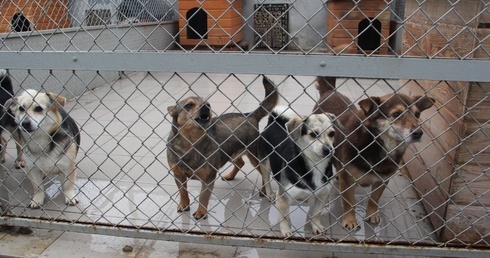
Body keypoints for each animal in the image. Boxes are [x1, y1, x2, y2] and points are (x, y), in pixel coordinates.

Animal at [167, 75, 278, 219]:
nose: (206, 106)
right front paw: (184, 204)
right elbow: (183, 192)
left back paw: (264, 190)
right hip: (230, 153)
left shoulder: (208, 178)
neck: (191, 143)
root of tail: (250, 115)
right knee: (240, 163)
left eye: (208, 103)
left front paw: (201, 212)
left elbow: (203, 196)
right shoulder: (178, 175)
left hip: (254, 157)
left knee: (264, 174)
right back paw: (230, 176)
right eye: (189, 105)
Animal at [260, 106, 336, 238]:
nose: (328, 149)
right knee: (266, 179)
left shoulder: (323, 196)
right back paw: (269, 194)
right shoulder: (283, 198)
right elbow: (284, 217)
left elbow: (316, 213)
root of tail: (274, 121)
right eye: (313, 134)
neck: (315, 165)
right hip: (266, 163)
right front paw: (285, 231)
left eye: (332, 133)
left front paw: (316, 226)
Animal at [312, 76, 434, 230]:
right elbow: (349, 203)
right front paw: (350, 220)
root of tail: (330, 91)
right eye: (397, 114)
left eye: (417, 115)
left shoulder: (382, 181)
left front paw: (371, 214)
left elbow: (374, 199)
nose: (418, 133)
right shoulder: (348, 181)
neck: (377, 145)